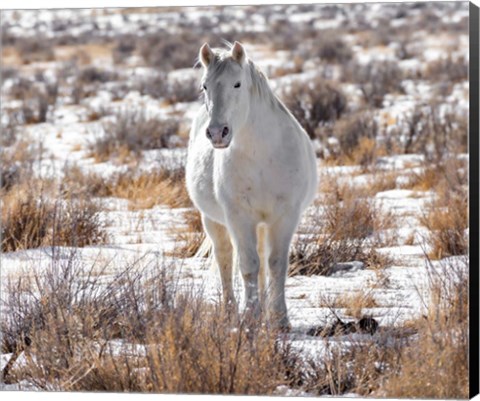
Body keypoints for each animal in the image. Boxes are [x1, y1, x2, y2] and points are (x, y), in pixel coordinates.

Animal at [186, 41, 316, 328]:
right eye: (204, 86)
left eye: (237, 84)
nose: (217, 133)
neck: (262, 156)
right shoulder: (239, 216)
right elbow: (247, 265)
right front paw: (250, 317)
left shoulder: (285, 216)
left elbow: (276, 264)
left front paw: (279, 319)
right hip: (214, 221)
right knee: (225, 258)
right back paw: (230, 310)